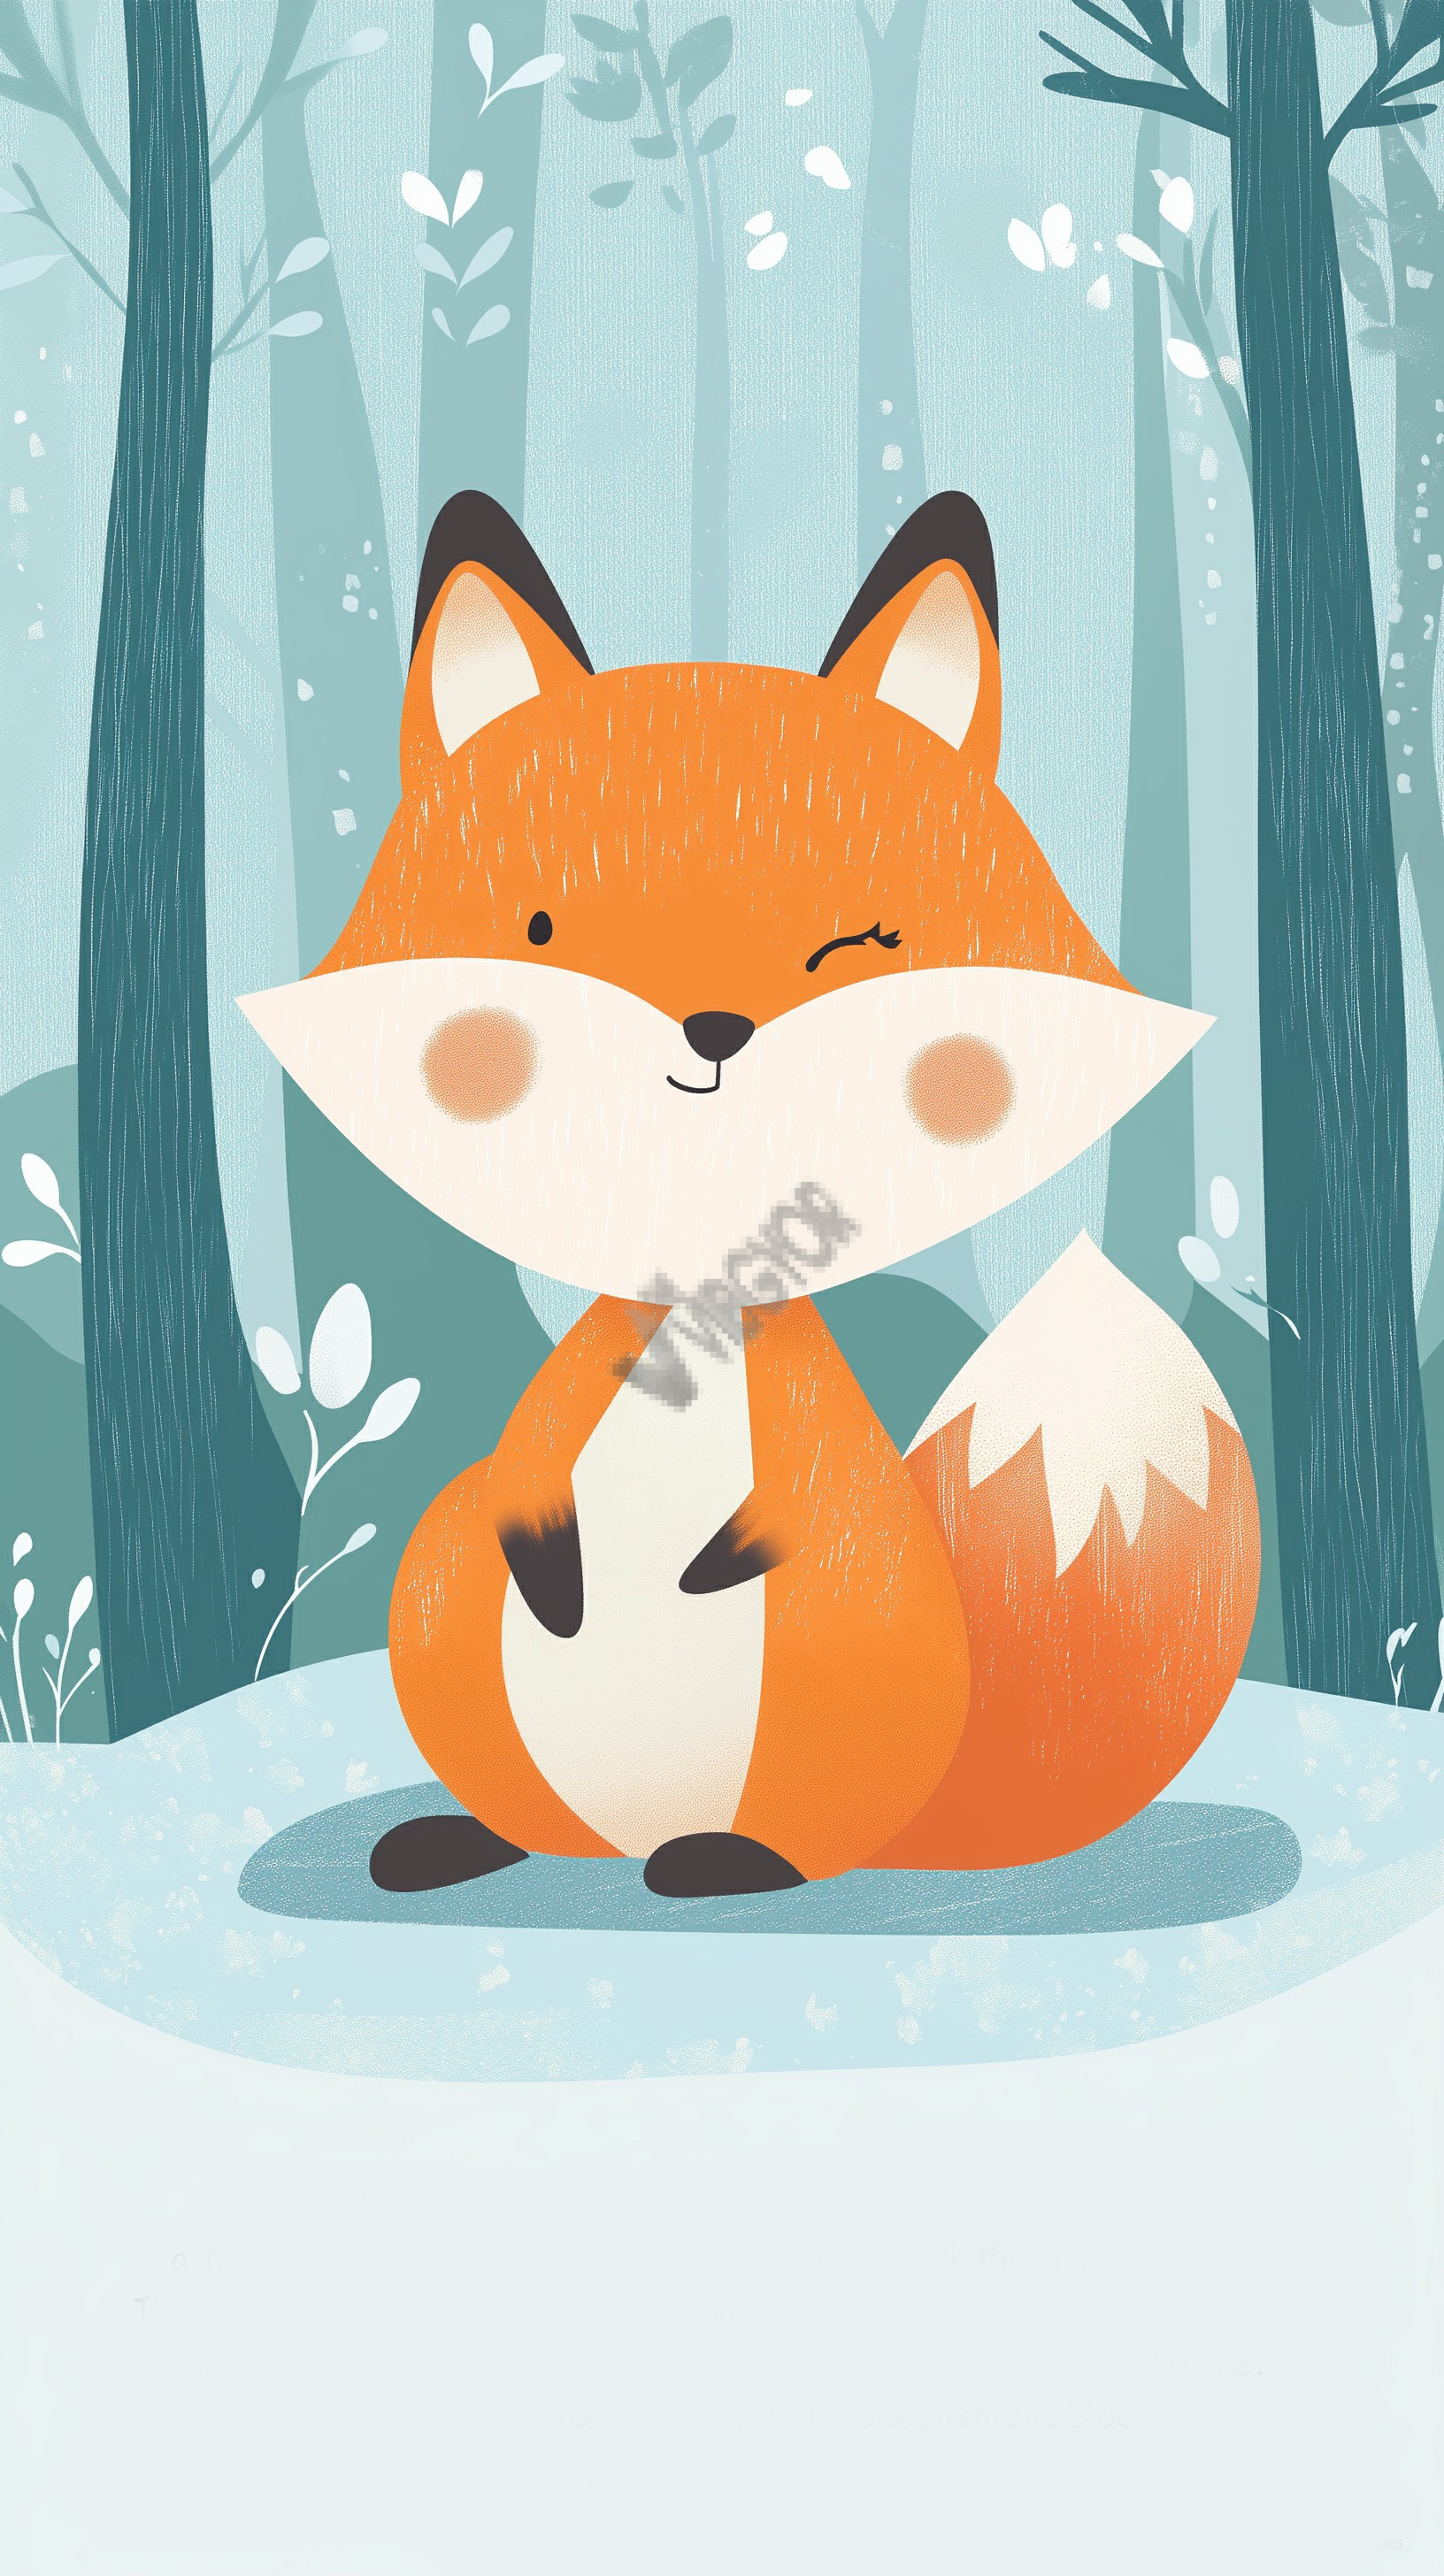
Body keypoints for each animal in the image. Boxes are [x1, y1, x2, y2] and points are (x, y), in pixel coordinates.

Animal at [241, 490, 1261, 1900]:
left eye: (853, 949)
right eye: (542, 931)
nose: (715, 1028)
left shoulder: (822, 1468)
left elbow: (810, 1508)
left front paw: (722, 1557)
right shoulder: (552, 1424)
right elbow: (529, 1469)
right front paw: (557, 1574)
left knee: (782, 1843)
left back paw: (727, 1863)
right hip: (443, 1596)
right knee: (514, 1779)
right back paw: (458, 1841)